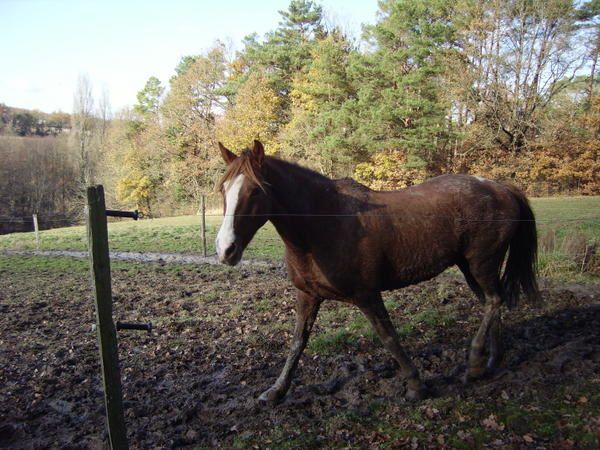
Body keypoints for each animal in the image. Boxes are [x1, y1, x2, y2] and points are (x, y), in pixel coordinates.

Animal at [214, 140, 540, 400]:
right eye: (224, 189)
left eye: (256, 191)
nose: (225, 248)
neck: (323, 224)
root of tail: (500, 187)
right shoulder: (307, 295)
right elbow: (297, 343)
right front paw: (276, 391)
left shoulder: (367, 295)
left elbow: (389, 338)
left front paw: (416, 386)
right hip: (470, 267)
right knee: (492, 303)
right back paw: (491, 362)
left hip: (481, 264)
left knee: (494, 301)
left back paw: (473, 364)